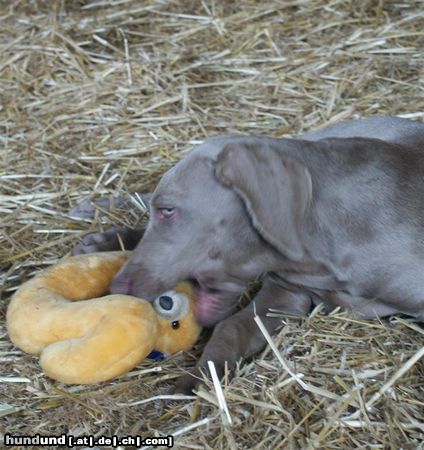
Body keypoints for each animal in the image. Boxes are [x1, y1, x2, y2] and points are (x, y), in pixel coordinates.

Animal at [72, 117, 424, 394]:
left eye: (169, 211)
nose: (118, 288)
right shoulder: (286, 291)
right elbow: (230, 328)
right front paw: (196, 384)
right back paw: (97, 222)